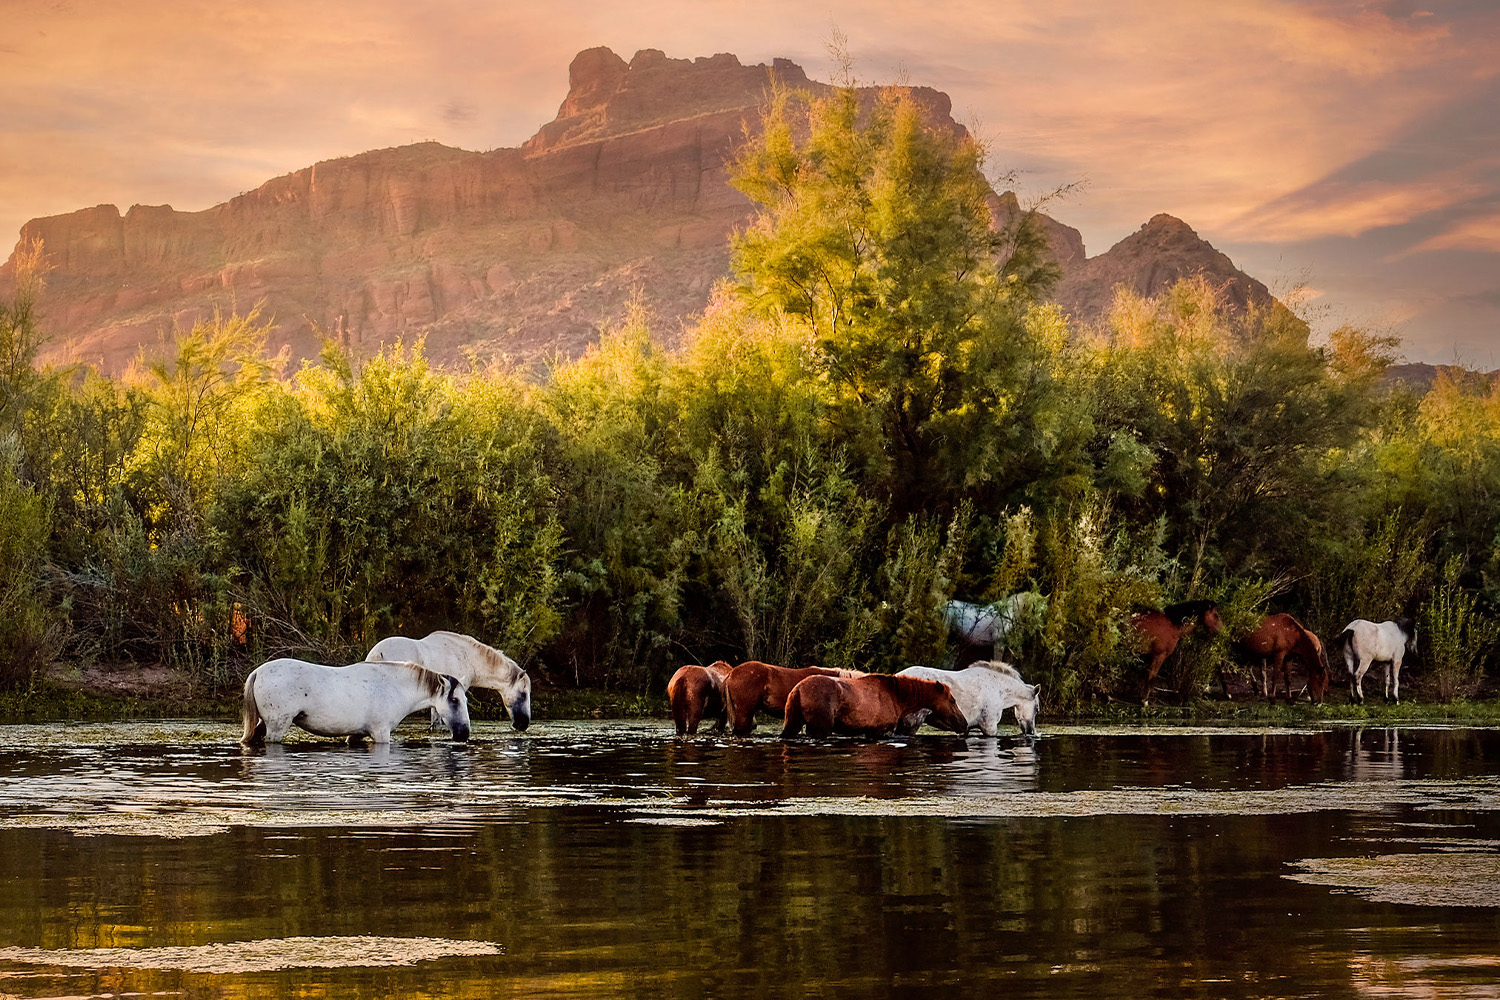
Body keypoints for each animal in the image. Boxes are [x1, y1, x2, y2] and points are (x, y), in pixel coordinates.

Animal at [241, 658, 471, 746]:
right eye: (455, 699)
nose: (464, 733)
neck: (394, 686)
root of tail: (258, 671)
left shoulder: (356, 735)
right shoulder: (381, 733)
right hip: (277, 727)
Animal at [781, 673, 968, 739]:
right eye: (953, 700)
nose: (965, 724)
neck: (897, 698)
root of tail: (797, 690)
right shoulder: (879, 730)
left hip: (792, 722)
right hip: (819, 727)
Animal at [896, 661, 1042, 736]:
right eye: (1036, 708)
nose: (1031, 731)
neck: (998, 688)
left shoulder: (965, 729)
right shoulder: (989, 727)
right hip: (912, 723)